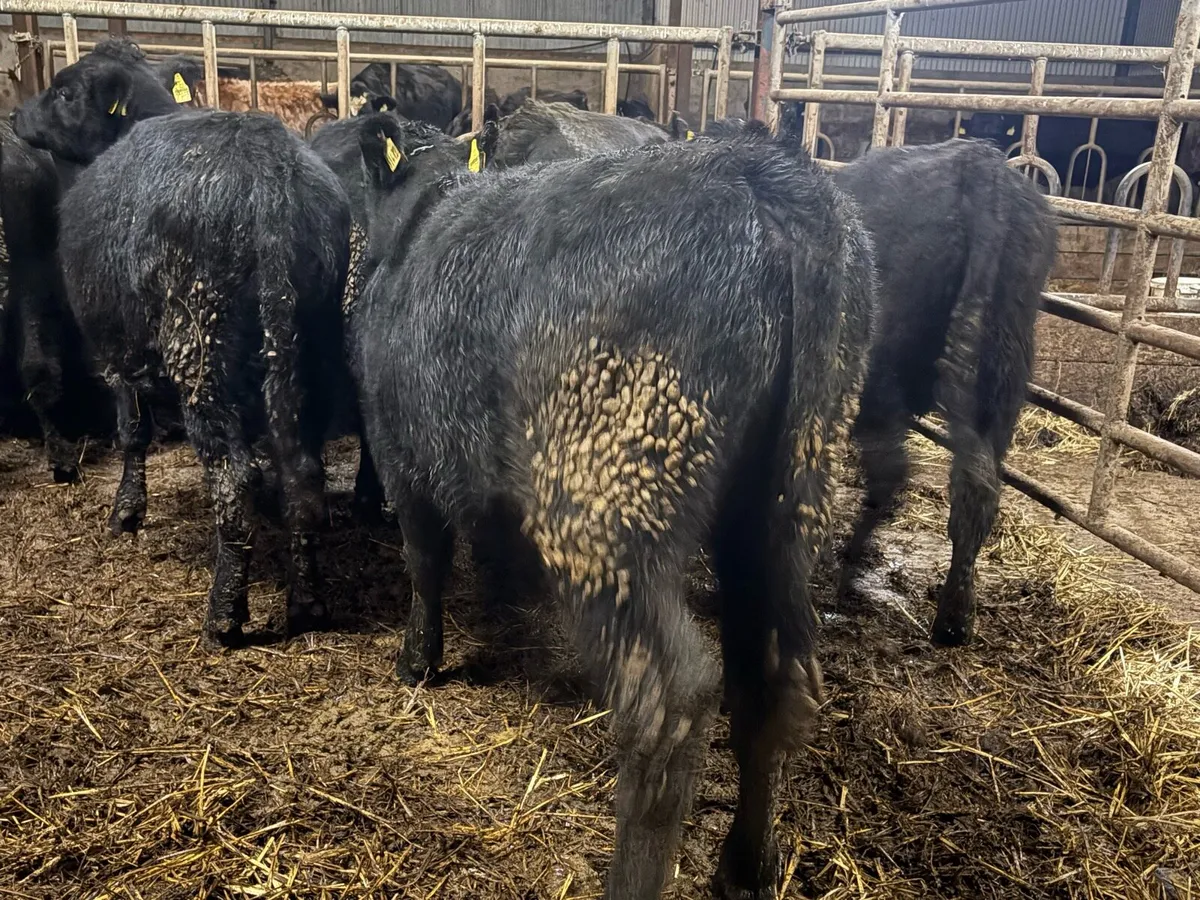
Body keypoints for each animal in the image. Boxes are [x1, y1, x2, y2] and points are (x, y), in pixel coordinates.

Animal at [12, 38, 363, 645]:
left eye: (65, 91)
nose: (16, 116)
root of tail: (272, 192)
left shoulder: (120, 350)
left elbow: (133, 431)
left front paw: (126, 514)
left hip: (201, 350)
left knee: (234, 477)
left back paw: (224, 613)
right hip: (309, 347)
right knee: (303, 472)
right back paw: (308, 602)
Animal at [350, 112, 874, 900]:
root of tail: (767, 177)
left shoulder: (401, 455)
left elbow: (425, 562)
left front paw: (418, 660)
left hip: (610, 501)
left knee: (671, 702)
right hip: (786, 501)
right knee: (773, 679)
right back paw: (746, 863)